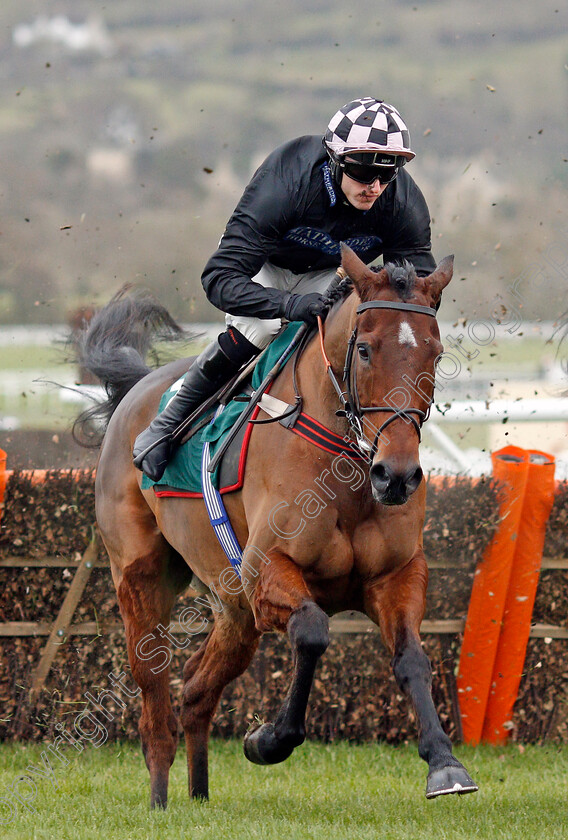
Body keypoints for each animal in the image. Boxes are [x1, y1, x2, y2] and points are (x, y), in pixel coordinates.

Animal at [73, 246, 478, 812]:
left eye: (435, 355)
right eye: (366, 350)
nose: (396, 476)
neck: (348, 473)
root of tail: (135, 393)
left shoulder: (396, 575)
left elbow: (413, 659)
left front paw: (445, 764)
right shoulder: (268, 571)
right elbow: (311, 633)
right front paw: (268, 740)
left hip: (232, 604)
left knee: (196, 687)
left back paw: (199, 794)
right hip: (142, 577)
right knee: (153, 688)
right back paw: (159, 799)